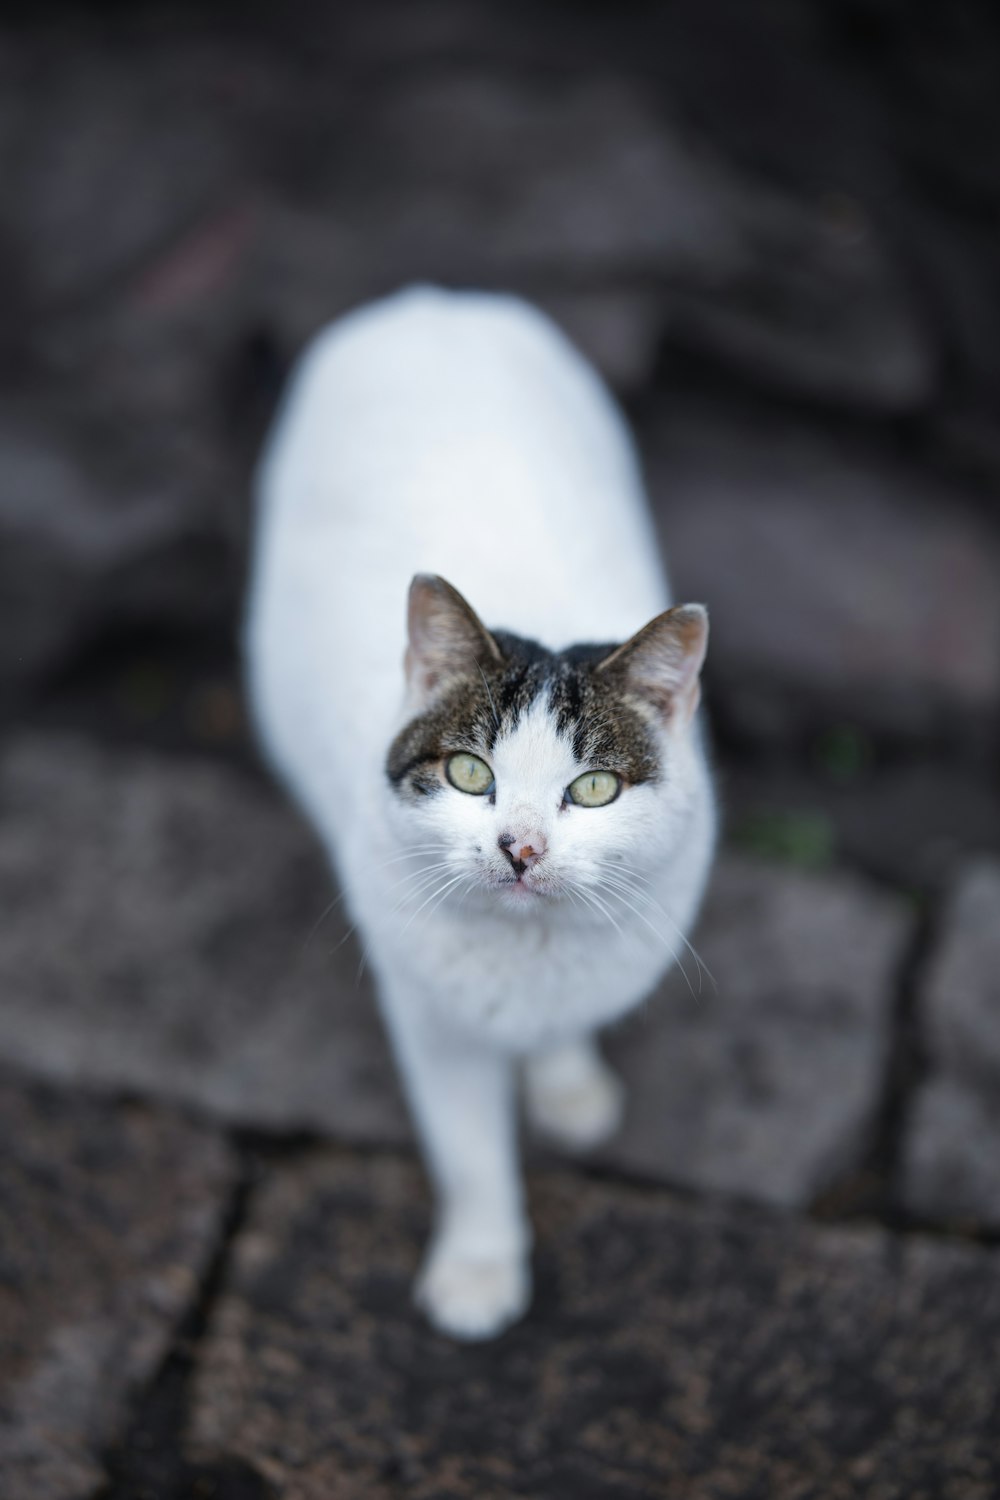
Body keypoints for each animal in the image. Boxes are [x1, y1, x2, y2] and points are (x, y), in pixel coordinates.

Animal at [245, 286, 716, 1344]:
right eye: (468, 773)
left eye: (594, 790)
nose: (521, 848)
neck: (527, 950)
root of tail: (430, 301)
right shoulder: (432, 1021)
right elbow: (469, 1156)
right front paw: (479, 1273)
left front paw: (566, 1082)